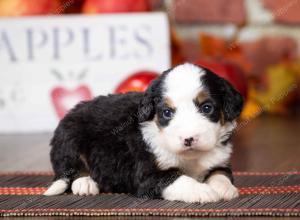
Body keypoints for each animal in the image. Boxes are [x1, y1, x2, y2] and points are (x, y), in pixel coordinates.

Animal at [43, 62, 243, 203]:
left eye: (207, 108)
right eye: (167, 112)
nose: (189, 139)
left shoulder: (219, 159)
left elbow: (221, 173)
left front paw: (225, 189)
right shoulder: (148, 175)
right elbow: (177, 178)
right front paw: (202, 191)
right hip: (70, 140)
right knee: (71, 170)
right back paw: (85, 183)